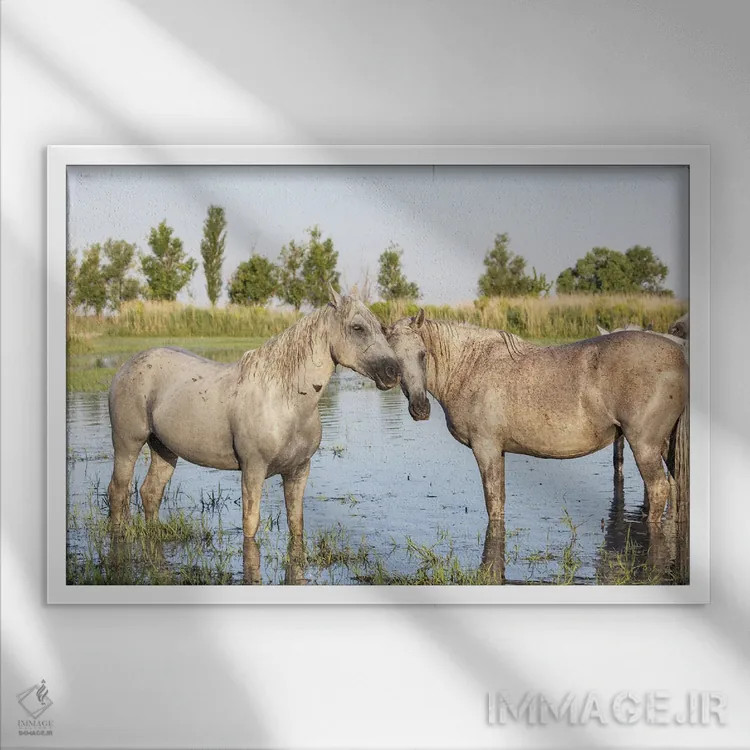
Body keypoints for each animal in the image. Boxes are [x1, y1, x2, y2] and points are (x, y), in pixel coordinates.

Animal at [108, 287, 400, 540]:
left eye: (381, 328)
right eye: (357, 328)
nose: (393, 372)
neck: (286, 402)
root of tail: (127, 366)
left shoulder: (298, 471)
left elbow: (296, 524)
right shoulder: (253, 470)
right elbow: (251, 524)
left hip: (164, 449)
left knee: (150, 492)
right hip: (127, 444)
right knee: (118, 491)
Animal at [386, 310, 688, 525]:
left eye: (423, 354)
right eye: (394, 361)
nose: (420, 408)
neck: (470, 366)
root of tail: (679, 356)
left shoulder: (486, 448)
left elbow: (493, 504)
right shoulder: (498, 450)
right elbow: (499, 501)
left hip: (644, 445)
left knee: (659, 489)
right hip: (663, 444)